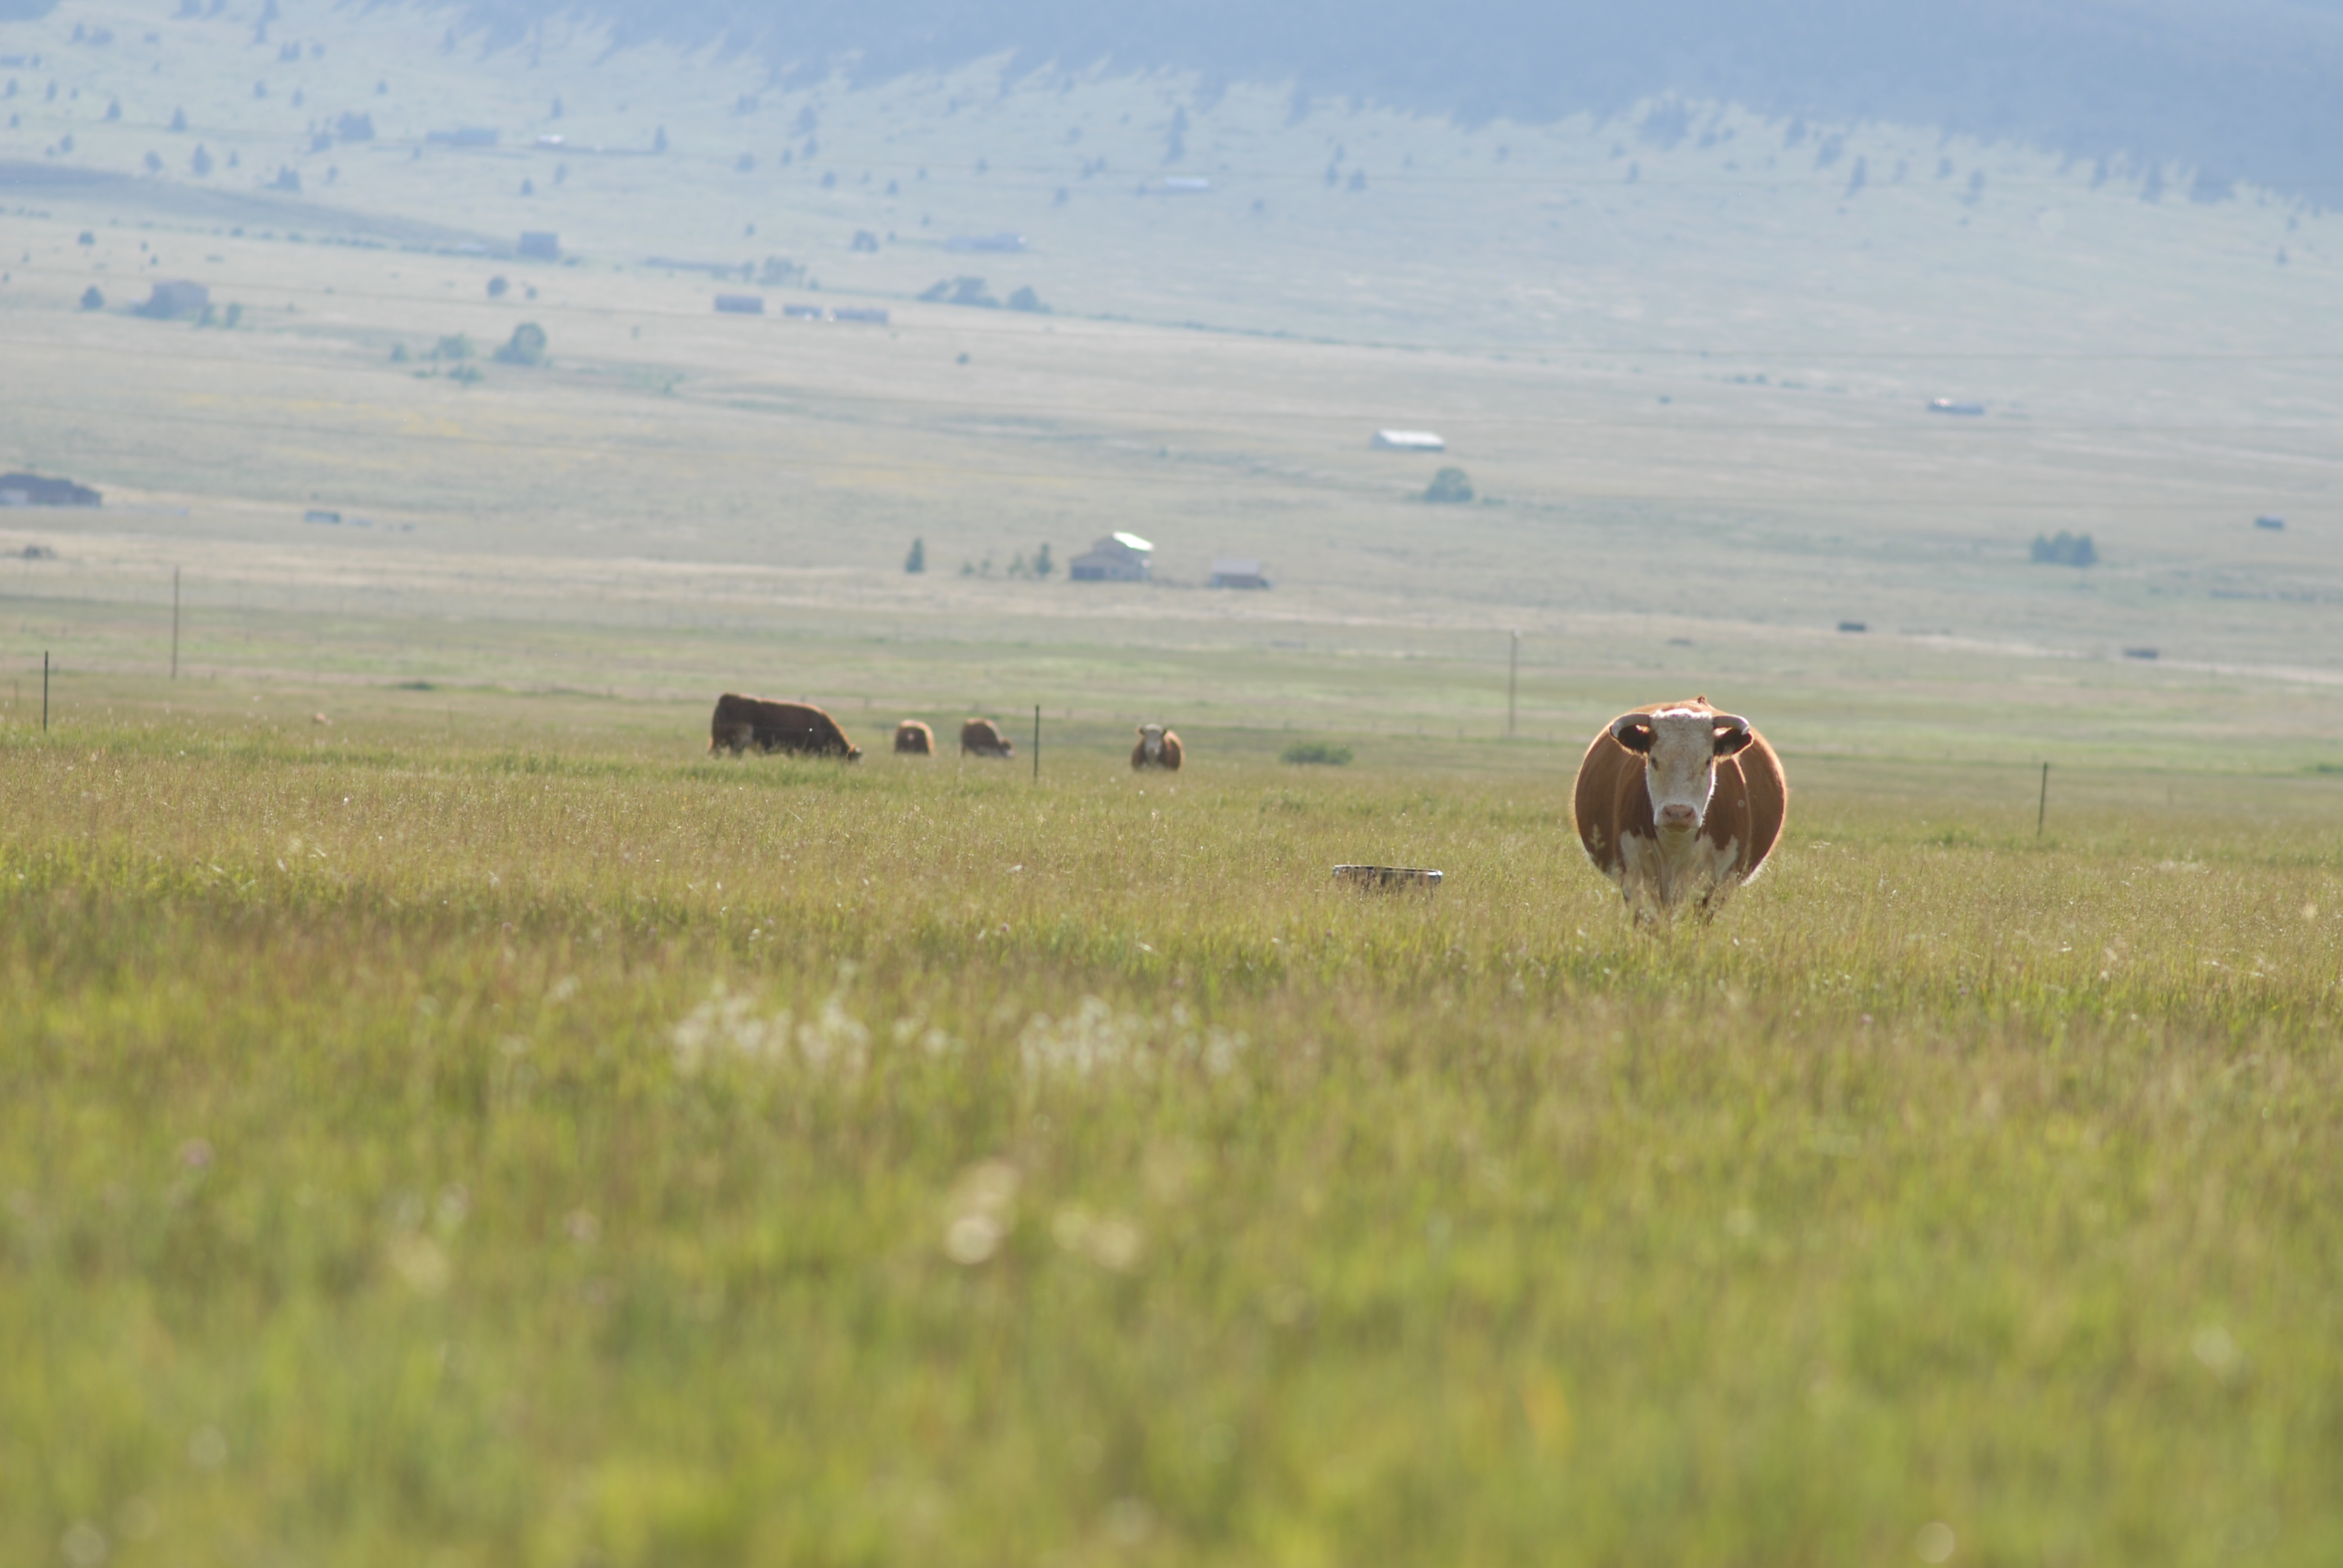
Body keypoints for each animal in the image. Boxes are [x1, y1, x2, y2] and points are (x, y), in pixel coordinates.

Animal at [1584, 693, 1780, 918]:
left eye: (1708, 761)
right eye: (1654, 760)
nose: (1678, 812)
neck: (1676, 845)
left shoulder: (1718, 883)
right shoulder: (1633, 876)